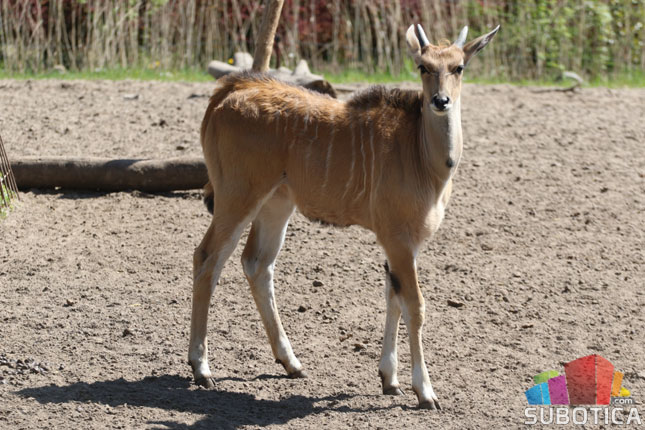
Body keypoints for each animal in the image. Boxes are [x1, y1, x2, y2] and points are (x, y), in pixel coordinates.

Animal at [189, 24, 499, 409]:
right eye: (423, 67)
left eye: (459, 67)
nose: (440, 101)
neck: (422, 155)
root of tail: (228, 91)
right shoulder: (399, 238)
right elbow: (414, 305)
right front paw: (424, 391)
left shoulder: (400, 245)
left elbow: (393, 297)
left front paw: (389, 379)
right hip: (237, 197)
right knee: (207, 258)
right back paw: (202, 368)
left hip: (276, 204)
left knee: (257, 264)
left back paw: (291, 363)